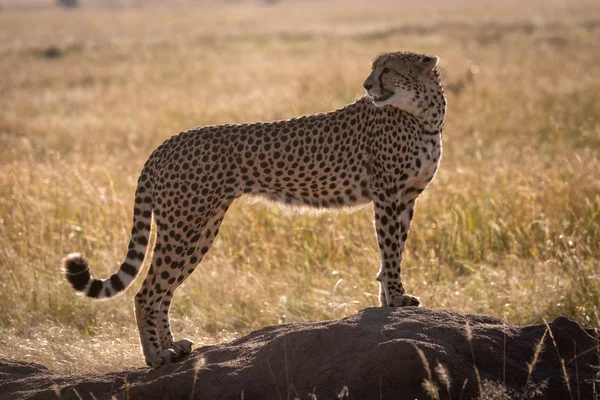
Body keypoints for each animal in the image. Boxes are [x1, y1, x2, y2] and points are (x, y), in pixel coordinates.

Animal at [62, 51, 446, 368]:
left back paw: (173, 348)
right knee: (147, 292)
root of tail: (168, 142)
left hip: (201, 229)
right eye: (375, 69)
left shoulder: (406, 197)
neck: (425, 115)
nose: (366, 85)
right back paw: (156, 357)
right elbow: (390, 250)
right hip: (185, 226)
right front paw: (395, 299)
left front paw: (387, 299)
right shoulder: (387, 194)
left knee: (164, 291)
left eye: (388, 69)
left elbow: (392, 251)